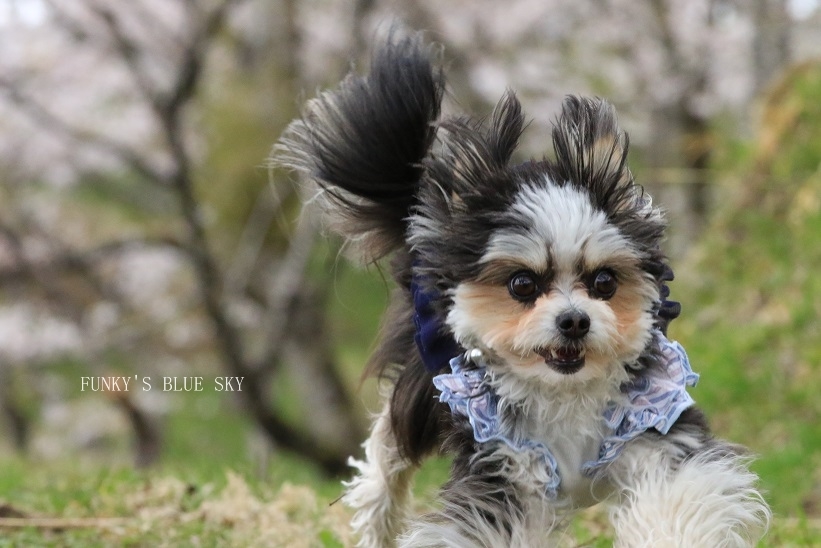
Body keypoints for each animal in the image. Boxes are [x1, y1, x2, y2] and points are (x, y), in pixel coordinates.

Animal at [276, 28, 768, 548]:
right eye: (522, 284)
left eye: (604, 281)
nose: (574, 320)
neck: (565, 394)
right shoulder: (505, 464)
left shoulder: (651, 427)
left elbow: (674, 496)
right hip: (420, 386)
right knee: (388, 446)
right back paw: (377, 519)